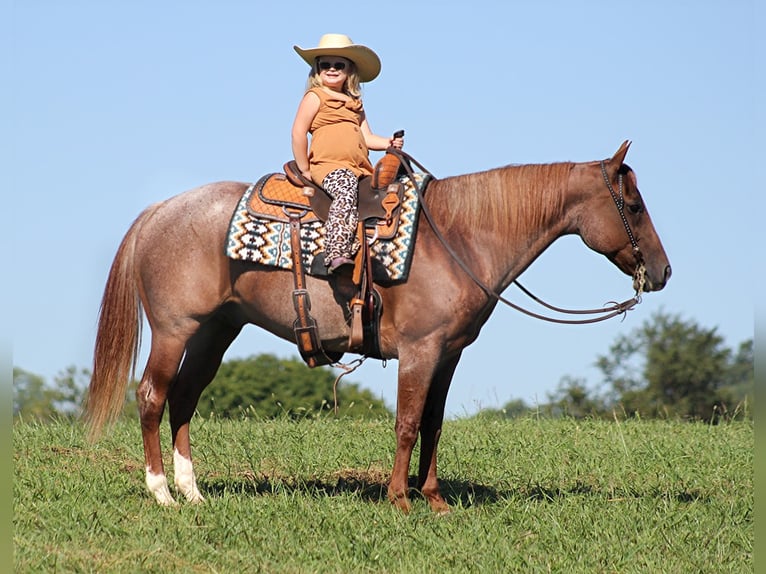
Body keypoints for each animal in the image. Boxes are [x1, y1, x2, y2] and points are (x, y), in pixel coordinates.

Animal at [85, 142, 672, 516]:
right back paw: (161, 492)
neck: (460, 236)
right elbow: (407, 423)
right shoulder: (419, 350)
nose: (664, 272)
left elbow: (433, 424)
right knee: (152, 394)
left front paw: (435, 499)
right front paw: (400, 499)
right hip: (175, 329)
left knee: (184, 397)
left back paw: (192, 492)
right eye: (634, 204)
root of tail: (161, 208)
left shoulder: (449, 354)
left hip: (215, 330)